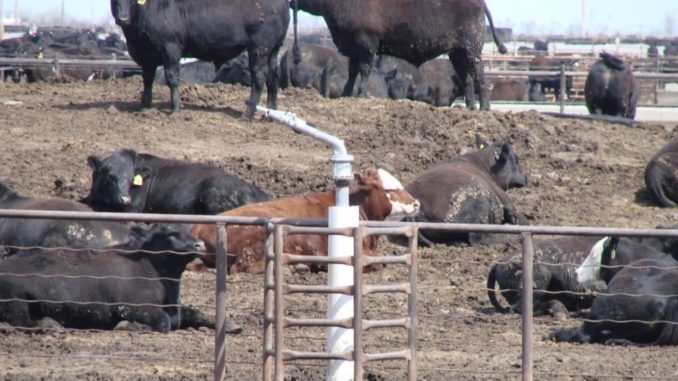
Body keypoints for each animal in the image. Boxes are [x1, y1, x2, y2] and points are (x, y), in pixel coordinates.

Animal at [0, 221, 236, 332]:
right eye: (169, 232)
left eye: (189, 228)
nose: (199, 244)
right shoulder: (130, 307)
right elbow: (163, 322)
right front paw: (127, 326)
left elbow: (193, 312)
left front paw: (229, 325)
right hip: (16, 298)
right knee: (21, 321)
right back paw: (50, 324)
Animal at [111, 0, 290, 116]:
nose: (123, 19)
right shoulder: (147, 56)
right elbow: (147, 80)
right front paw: (144, 107)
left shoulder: (170, 48)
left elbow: (172, 79)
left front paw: (175, 109)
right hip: (274, 49)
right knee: (273, 77)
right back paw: (271, 112)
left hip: (259, 48)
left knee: (259, 77)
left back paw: (248, 113)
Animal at [292, 0, 510, 110]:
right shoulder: (354, 46)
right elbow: (353, 71)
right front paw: (346, 94)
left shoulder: (367, 44)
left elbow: (364, 70)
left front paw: (360, 94)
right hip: (457, 53)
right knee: (467, 80)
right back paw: (471, 107)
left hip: (471, 50)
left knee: (479, 77)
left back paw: (484, 108)